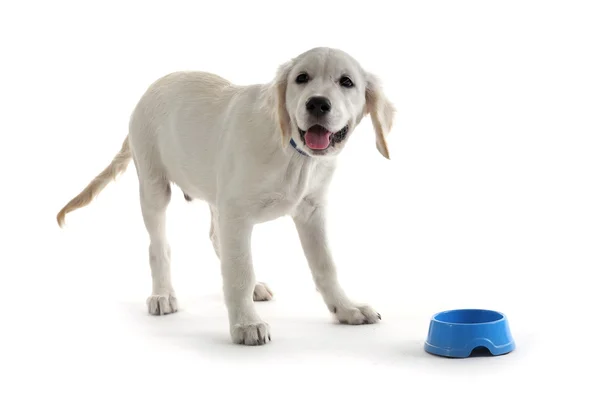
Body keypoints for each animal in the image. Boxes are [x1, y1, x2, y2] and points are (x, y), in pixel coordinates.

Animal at [55, 46, 394, 344]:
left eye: (346, 82)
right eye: (302, 78)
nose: (318, 104)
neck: (293, 154)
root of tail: (150, 89)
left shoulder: (311, 211)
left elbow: (325, 266)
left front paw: (346, 308)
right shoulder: (237, 212)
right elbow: (240, 269)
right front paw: (246, 324)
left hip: (214, 194)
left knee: (216, 238)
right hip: (153, 185)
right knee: (159, 246)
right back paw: (163, 294)